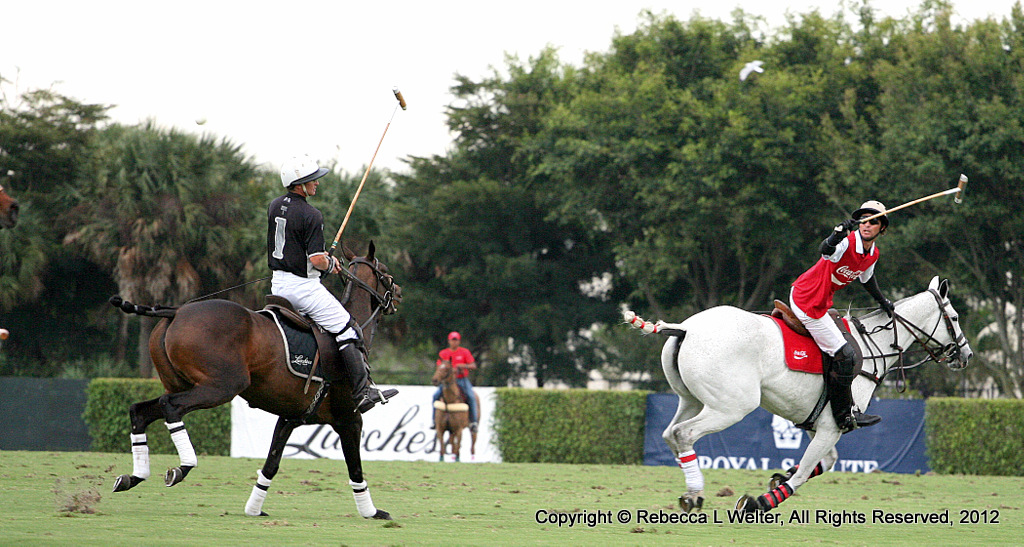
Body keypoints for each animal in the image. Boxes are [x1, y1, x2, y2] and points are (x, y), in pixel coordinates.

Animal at [108, 242, 401, 519]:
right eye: (385, 272)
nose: (397, 292)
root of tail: (175, 313)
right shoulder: (349, 418)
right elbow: (355, 468)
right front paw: (373, 512)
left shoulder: (290, 417)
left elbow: (272, 463)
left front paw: (254, 509)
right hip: (222, 386)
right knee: (171, 406)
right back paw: (184, 466)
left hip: (183, 383)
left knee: (140, 410)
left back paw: (133, 477)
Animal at [626, 276, 971, 514]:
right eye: (954, 318)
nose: (966, 355)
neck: (873, 344)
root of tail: (686, 329)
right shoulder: (833, 426)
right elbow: (806, 470)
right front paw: (760, 502)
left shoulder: (817, 424)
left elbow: (825, 462)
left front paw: (779, 478)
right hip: (731, 406)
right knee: (684, 434)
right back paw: (696, 493)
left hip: (691, 399)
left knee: (670, 433)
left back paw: (690, 491)